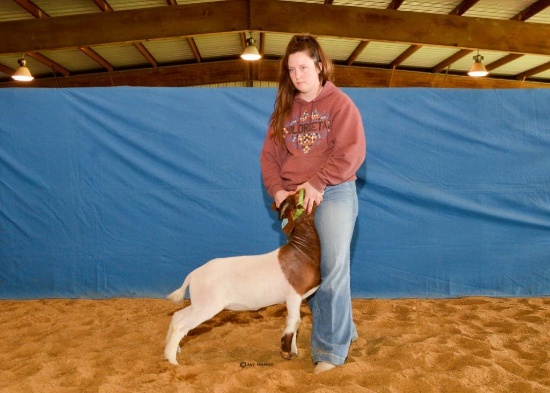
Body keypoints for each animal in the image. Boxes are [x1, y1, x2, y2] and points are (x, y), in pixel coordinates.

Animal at [163, 190, 324, 364]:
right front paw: (286, 350)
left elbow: (293, 322)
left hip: (199, 304)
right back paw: (172, 360)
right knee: (181, 325)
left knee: (177, 317)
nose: (318, 192)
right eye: (301, 198)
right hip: (206, 306)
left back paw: (173, 351)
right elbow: (295, 321)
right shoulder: (293, 295)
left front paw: (293, 351)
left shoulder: (297, 298)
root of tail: (193, 274)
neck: (301, 252)